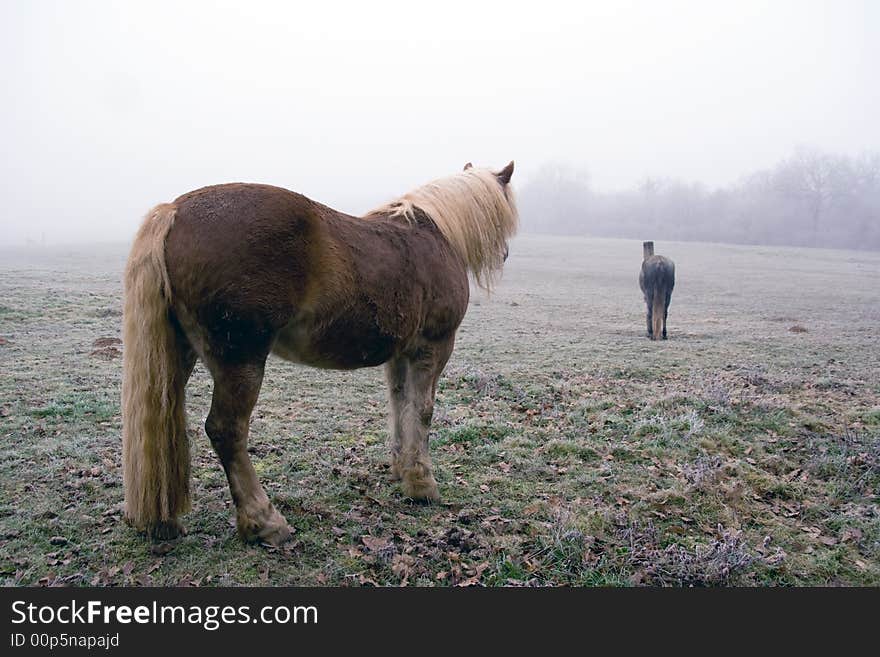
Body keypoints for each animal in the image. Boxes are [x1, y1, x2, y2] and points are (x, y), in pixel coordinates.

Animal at [117, 160, 516, 544]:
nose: (505, 254)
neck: (435, 235)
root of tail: (174, 211)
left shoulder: (401, 355)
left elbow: (400, 405)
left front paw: (401, 470)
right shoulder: (434, 346)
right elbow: (422, 411)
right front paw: (422, 484)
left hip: (178, 357)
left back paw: (163, 522)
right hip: (241, 361)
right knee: (226, 431)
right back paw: (265, 522)